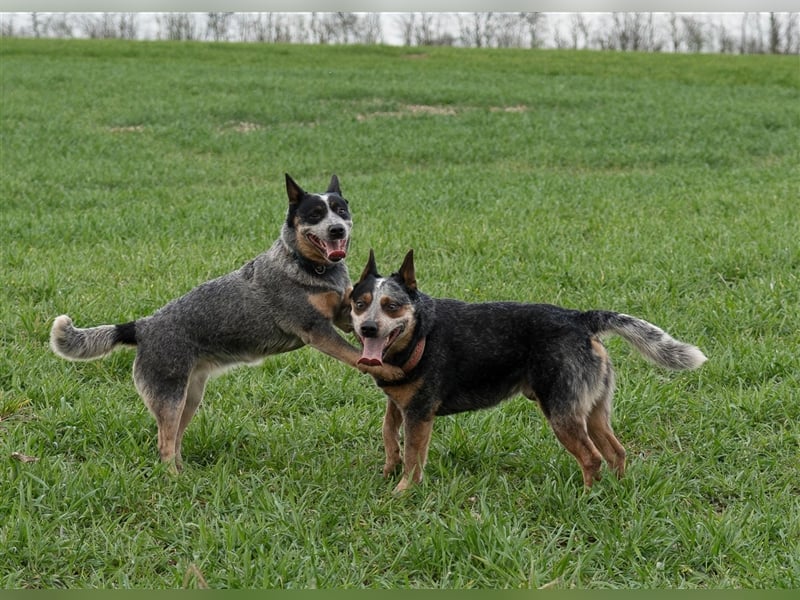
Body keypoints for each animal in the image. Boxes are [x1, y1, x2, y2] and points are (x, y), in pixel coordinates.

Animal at [350, 248, 708, 492]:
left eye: (391, 306)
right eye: (359, 303)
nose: (368, 328)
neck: (419, 334)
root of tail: (580, 318)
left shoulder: (420, 413)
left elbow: (413, 456)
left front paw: (403, 490)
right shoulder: (398, 404)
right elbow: (388, 433)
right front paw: (389, 469)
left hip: (561, 413)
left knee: (592, 458)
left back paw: (587, 498)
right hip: (592, 410)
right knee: (616, 452)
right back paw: (616, 492)